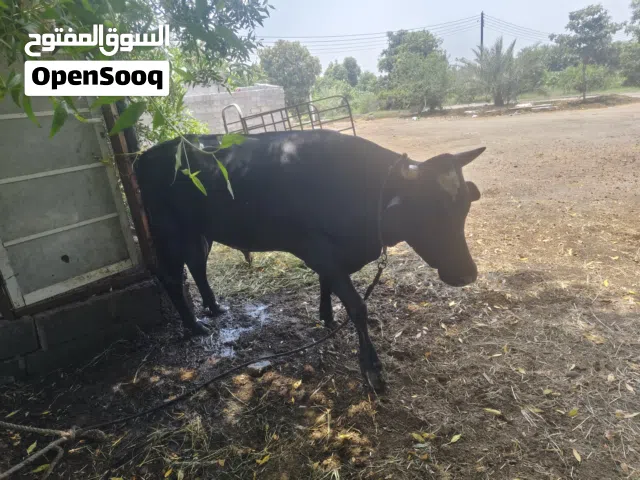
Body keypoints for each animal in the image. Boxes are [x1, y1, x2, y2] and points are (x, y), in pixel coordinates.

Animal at [133, 130, 484, 392]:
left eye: (464, 207)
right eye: (430, 211)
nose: (468, 275)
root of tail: (146, 156)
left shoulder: (333, 256)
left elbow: (326, 283)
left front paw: (326, 315)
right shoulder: (316, 248)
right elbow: (357, 306)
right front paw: (371, 367)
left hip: (200, 233)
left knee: (197, 266)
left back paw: (214, 307)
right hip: (170, 232)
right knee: (172, 277)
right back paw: (194, 325)